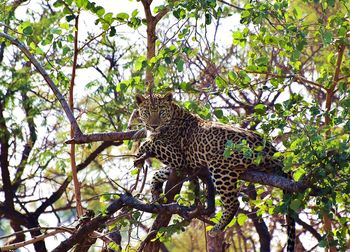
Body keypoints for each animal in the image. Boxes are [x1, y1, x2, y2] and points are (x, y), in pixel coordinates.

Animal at [134, 93, 296, 251]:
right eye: (147, 112)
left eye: (161, 112)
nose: (154, 126)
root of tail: (271, 148)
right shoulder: (184, 165)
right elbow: (159, 172)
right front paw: (155, 189)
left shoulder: (178, 156)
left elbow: (151, 143)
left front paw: (138, 156)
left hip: (220, 166)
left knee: (233, 203)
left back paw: (216, 228)